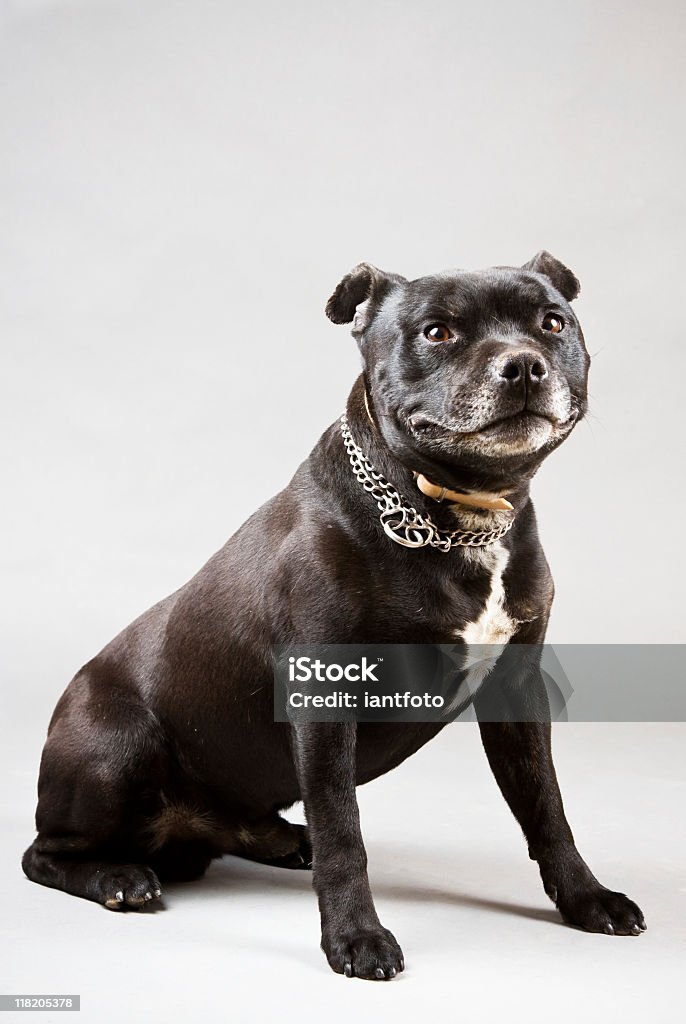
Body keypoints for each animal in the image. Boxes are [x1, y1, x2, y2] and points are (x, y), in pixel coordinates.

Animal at [20, 251, 647, 978]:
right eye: (437, 333)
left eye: (551, 322)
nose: (521, 364)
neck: (456, 520)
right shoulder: (326, 696)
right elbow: (345, 830)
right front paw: (356, 936)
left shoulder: (518, 693)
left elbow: (547, 808)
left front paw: (586, 898)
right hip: (117, 743)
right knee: (42, 853)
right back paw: (117, 877)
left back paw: (280, 840)